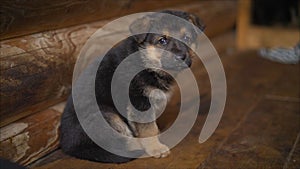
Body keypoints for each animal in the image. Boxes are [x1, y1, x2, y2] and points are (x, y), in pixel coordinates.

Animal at [59, 9, 205, 163]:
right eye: (162, 40)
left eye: (187, 38)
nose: (181, 57)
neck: (145, 61)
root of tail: (69, 147)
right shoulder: (139, 102)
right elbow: (148, 129)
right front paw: (156, 148)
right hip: (106, 114)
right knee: (117, 143)